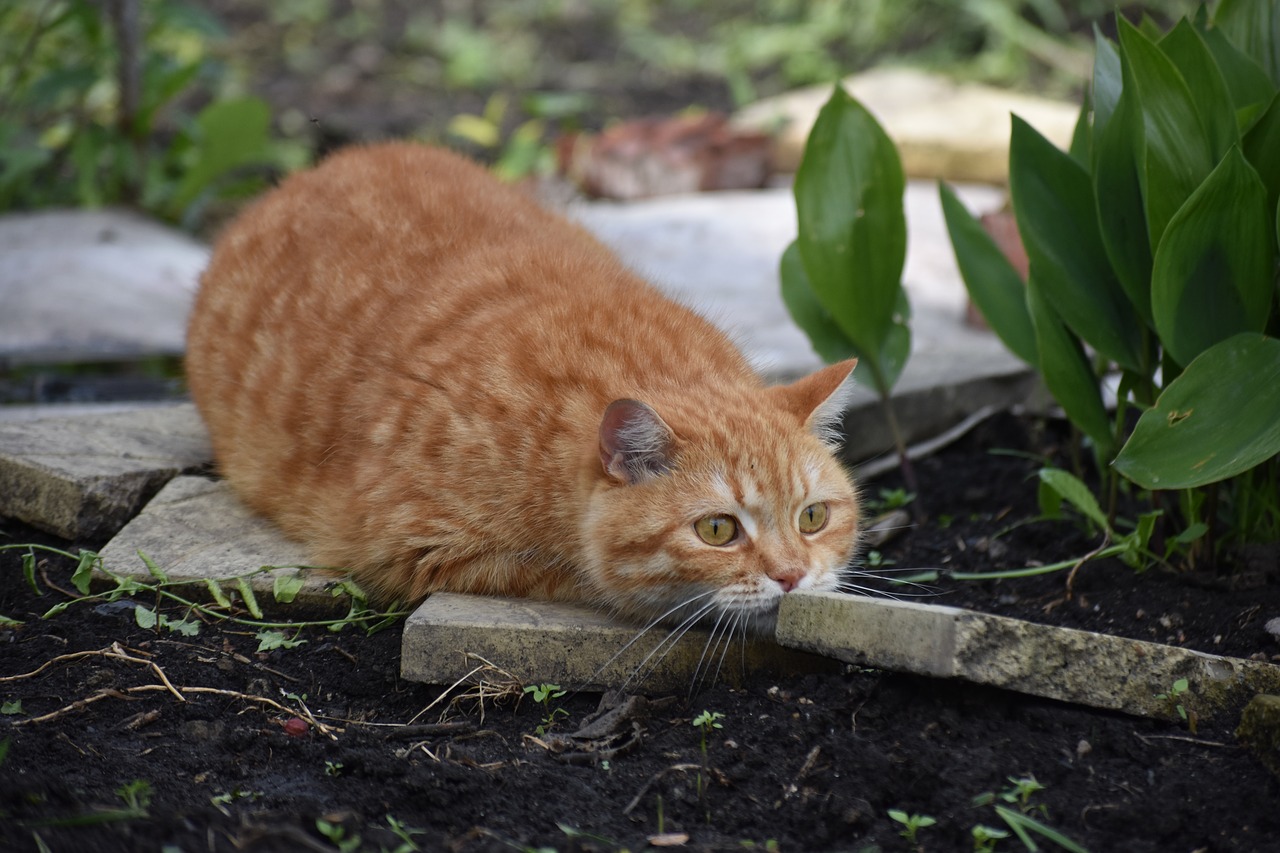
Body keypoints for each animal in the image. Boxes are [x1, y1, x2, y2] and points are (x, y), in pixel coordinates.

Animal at [185, 142, 865, 627]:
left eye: (812, 518)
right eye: (718, 530)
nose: (792, 577)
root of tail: (311, 172)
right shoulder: (420, 547)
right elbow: (587, 578)